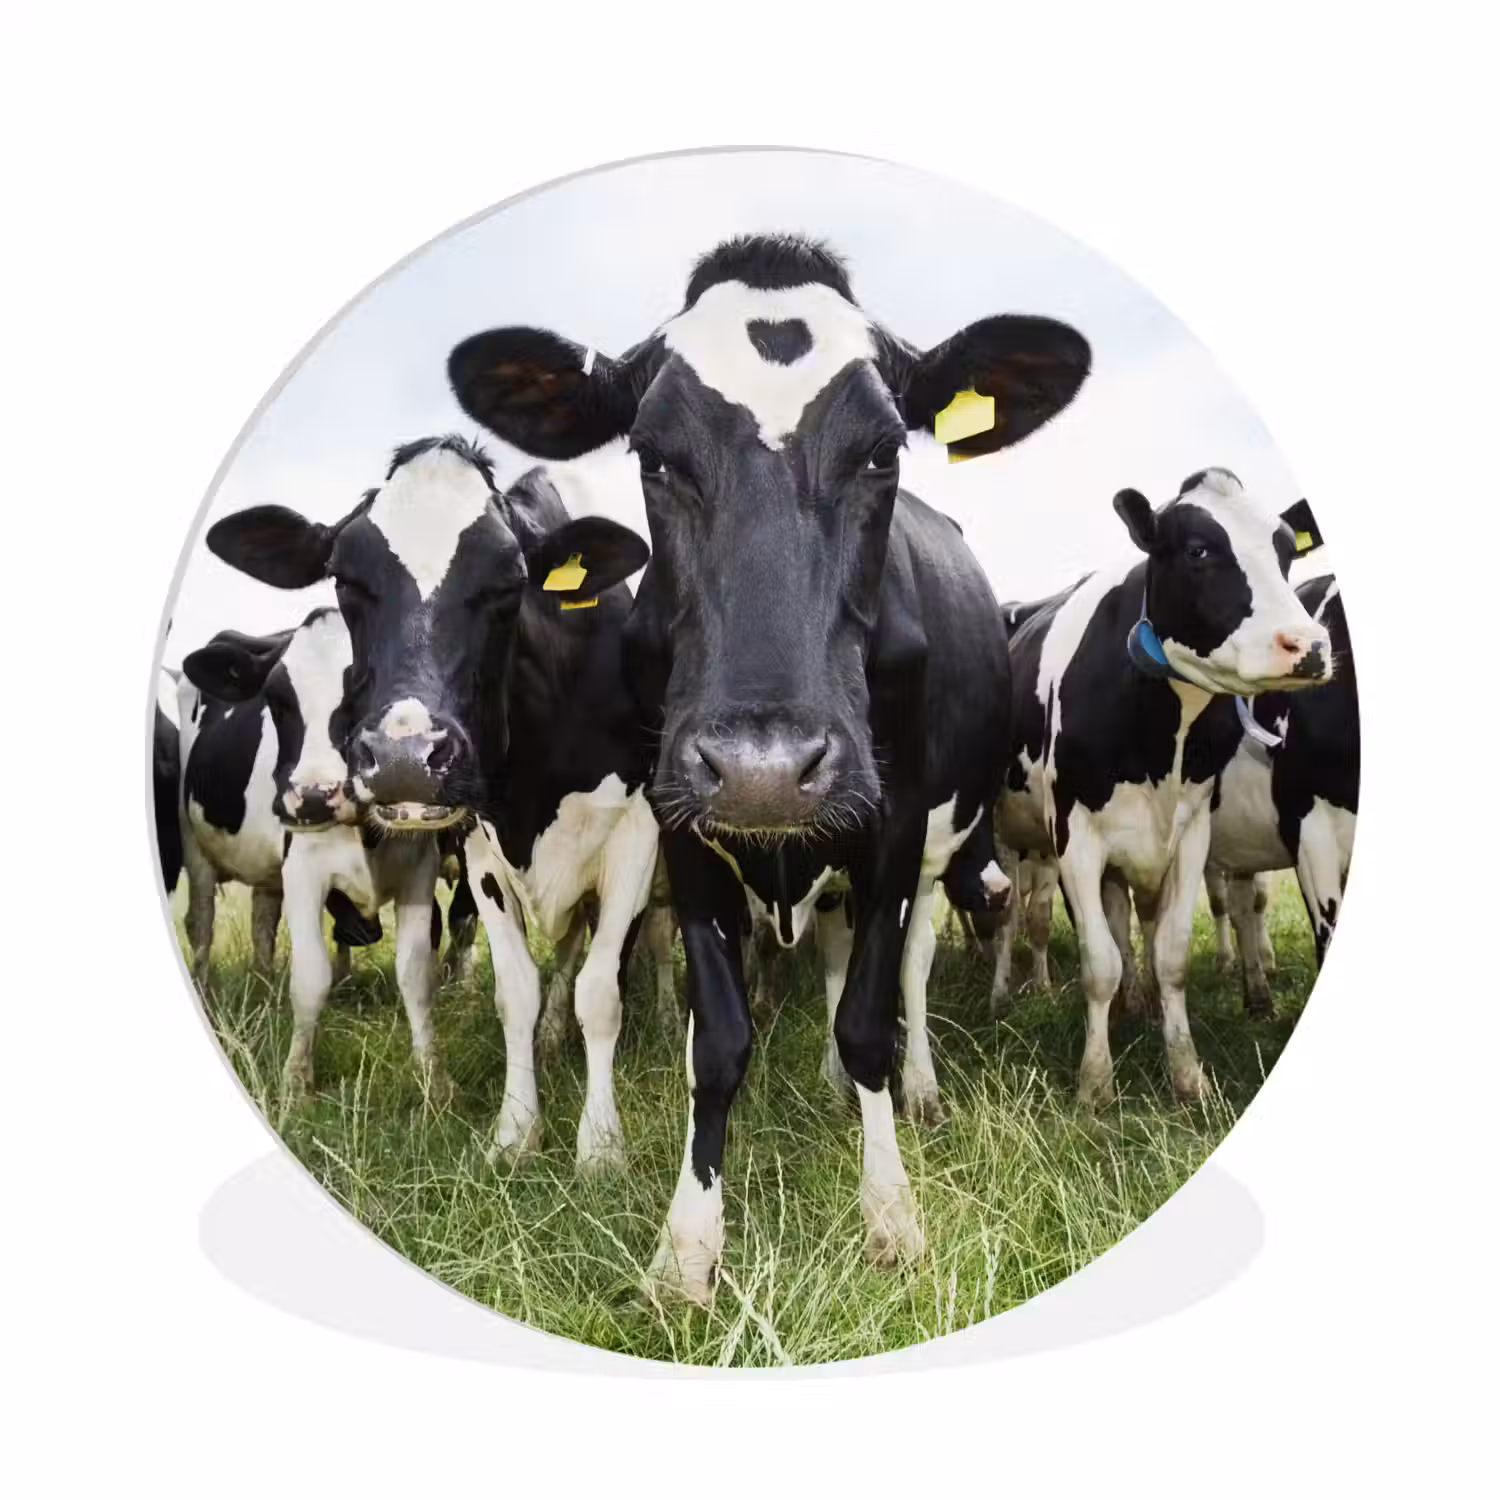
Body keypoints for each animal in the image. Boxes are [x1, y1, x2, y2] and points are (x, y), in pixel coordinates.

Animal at [202, 442, 656, 1169]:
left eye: (511, 580)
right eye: (343, 577)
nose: (405, 757)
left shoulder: (637, 839)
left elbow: (600, 991)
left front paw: (600, 1146)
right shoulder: (480, 850)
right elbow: (516, 991)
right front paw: (515, 1131)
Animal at [446, 231, 1090, 1303]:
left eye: (882, 450)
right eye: (653, 454)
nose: (764, 769)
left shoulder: (894, 825)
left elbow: (869, 1018)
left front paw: (891, 1216)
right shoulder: (679, 825)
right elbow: (717, 1039)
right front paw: (687, 1248)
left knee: (905, 971)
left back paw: (909, 1090)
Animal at [999, 467, 1331, 1108]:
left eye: (1285, 550)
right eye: (1198, 550)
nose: (1309, 646)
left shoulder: (1192, 831)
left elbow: (1170, 953)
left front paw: (1186, 1072)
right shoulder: (1074, 836)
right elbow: (1098, 961)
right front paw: (1095, 1084)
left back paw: (1141, 1003)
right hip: (1008, 838)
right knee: (1010, 917)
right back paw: (1006, 991)